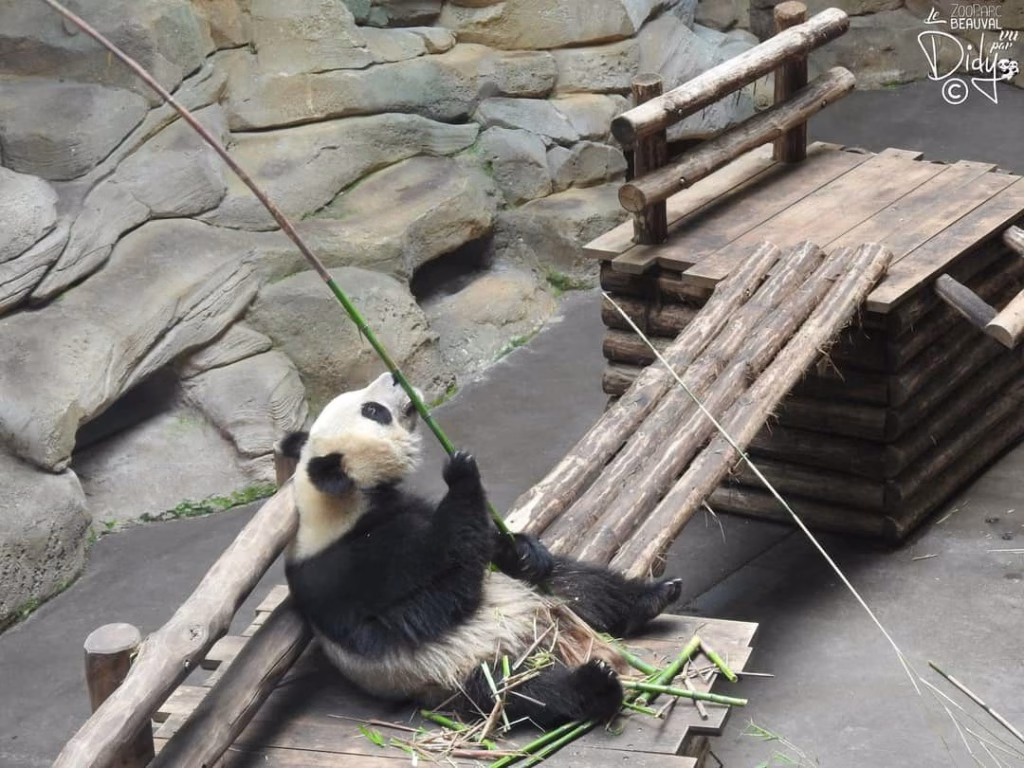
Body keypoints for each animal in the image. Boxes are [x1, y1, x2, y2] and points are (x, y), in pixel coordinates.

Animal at [280, 371, 683, 729]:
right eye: (373, 410)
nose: (394, 377)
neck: (337, 506)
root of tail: (553, 638)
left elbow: (487, 549)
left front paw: (525, 551)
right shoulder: (347, 571)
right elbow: (428, 604)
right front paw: (461, 474)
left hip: (551, 601)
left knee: (583, 585)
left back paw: (652, 597)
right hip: (463, 672)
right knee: (521, 691)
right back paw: (595, 684)